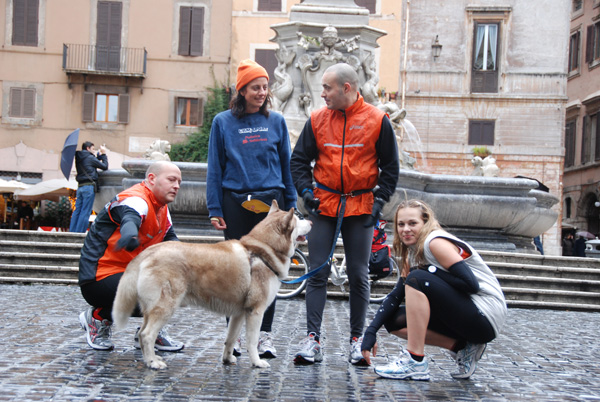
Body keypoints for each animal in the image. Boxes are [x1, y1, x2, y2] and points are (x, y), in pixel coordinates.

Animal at [109, 201, 312, 370]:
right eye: (298, 219)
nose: (311, 221)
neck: (261, 251)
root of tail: (149, 251)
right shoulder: (255, 311)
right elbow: (252, 342)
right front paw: (257, 362)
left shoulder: (239, 313)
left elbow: (230, 339)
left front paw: (227, 360)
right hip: (165, 308)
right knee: (147, 335)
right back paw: (153, 362)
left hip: (149, 309)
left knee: (141, 333)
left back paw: (147, 359)